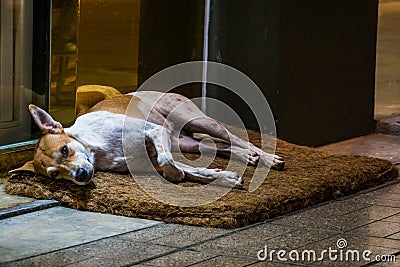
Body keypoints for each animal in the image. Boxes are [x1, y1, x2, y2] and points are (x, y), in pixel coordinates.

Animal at [10, 91, 282, 189]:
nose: (81, 175)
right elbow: (192, 169)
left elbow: (168, 161)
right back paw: (248, 158)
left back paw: (268, 158)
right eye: (55, 175)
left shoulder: (153, 131)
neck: (97, 149)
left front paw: (175, 174)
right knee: (223, 146)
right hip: (191, 143)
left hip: (199, 121)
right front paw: (224, 177)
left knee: (236, 138)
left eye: (65, 150)